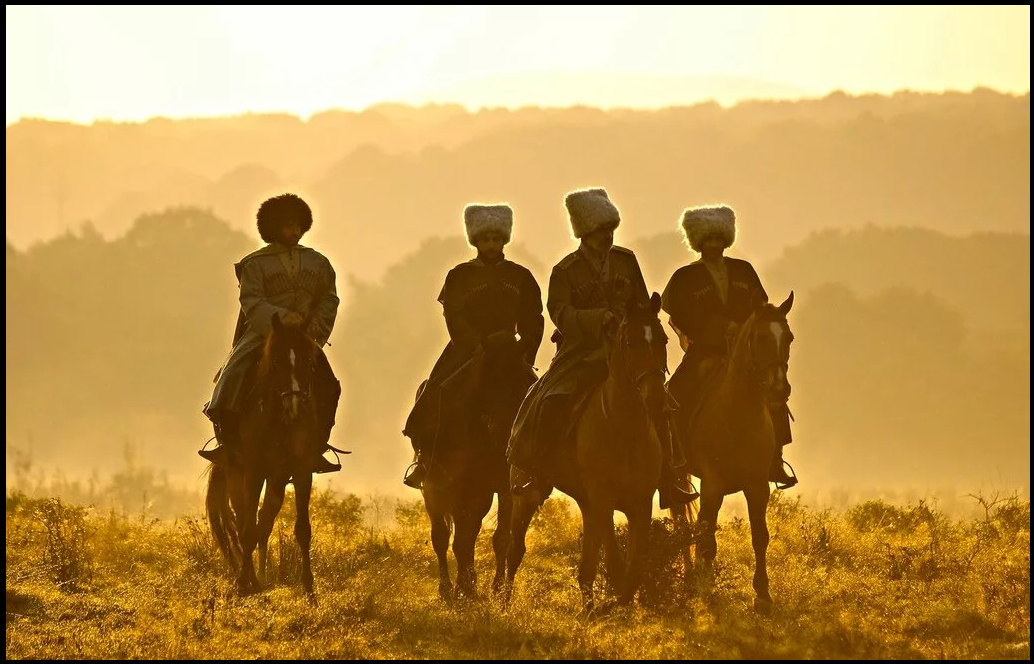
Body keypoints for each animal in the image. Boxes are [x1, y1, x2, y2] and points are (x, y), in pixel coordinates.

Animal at [205, 312, 326, 595]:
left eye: (308, 360)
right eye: (277, 360)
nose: (295, 406)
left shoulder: (302, 471)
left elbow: (302, 529)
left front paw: (309, 589)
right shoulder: (254, 470)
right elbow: (247, 528)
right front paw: (242, 585)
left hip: (277, 479)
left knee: (264, 521)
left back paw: (260, 575)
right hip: (236, 471)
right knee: (242, 521)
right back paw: (251, 578)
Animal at [417, 347, 533, 595]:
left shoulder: (500, 488)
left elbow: (497, 538)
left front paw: (495, 587)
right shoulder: (439, 485)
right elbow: (445, 536)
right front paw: (452, 588)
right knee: (453, 533)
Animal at [506, 291, 670, 612]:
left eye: (663, 339)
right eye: (629, 342)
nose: (656, 397)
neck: (625, 429)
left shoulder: (639, 504)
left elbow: (632, 570)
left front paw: (616, 606)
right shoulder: (602, 500)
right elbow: (597, 566)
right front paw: (598, 609)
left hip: (587, 503)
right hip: (526, 496)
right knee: (513, 549)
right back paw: (502, 600)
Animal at [665, 291, 794, 612]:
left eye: (788, 337)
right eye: (759, 337)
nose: (779, 389)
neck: (738, 413)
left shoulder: (758, 486)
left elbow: (760, 536)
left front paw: (763, 595)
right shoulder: (713, 486)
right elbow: (706, 540)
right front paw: (704, 586)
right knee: (681, 523)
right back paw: (689, 576)